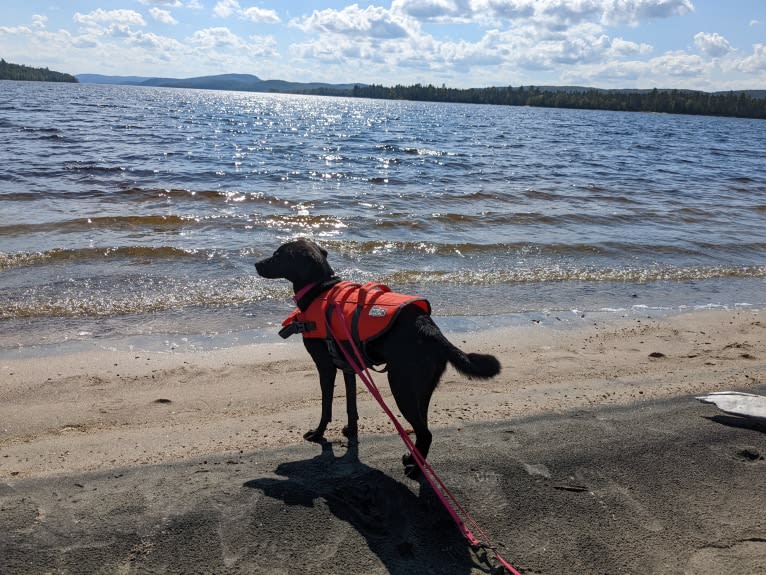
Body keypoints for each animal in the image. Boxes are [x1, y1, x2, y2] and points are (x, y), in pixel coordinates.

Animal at [255, 238, 500, 476]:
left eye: (278, 255)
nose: (256, 264)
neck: (319, 288)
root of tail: (430, 330)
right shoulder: (349, 368)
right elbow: (351, 405)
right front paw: (351, 431)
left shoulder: (326, 367)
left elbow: (326, 406)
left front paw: (318, 433)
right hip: (422, 390)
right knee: (423, 429)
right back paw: (413, 460)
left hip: (402, 386)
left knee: (425, 433)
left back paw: (415, 469)